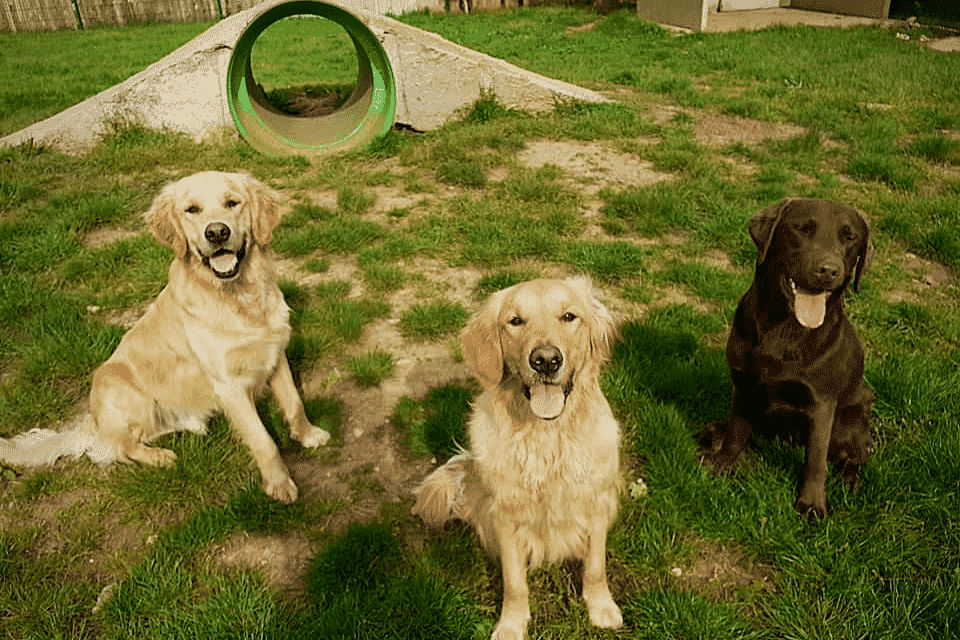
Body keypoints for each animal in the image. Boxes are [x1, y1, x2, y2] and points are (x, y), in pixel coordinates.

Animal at [0, 172, 330, 502]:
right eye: (192, 209)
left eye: (232, 203)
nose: (217, 233)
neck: (240, 299)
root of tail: (93, 420)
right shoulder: (229, 386)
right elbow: (264, 441)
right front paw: (279, 484)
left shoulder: (275, 354)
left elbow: (295, 404)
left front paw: (309, 435)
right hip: (127, 392)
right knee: (120, 448)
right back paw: (160, 457)